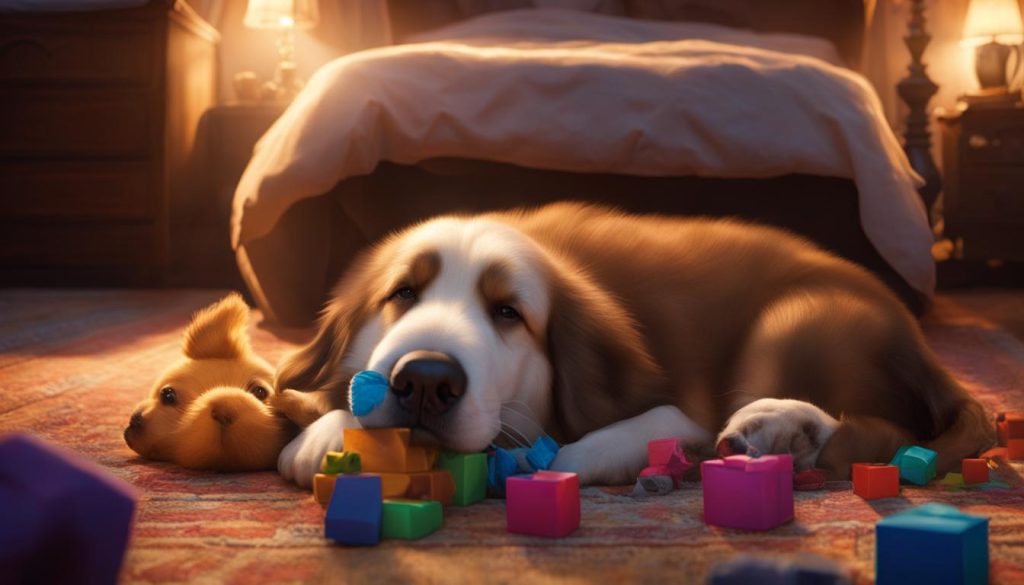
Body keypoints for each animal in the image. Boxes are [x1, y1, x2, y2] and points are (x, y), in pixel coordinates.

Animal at [272, 203, 991, 487]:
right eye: (402, 293)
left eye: (508, 312)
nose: (425, 379)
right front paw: (324, 429)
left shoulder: (682, 404)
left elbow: (600, 440)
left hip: (792, 321)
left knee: (878, 433)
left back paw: (781, 427)